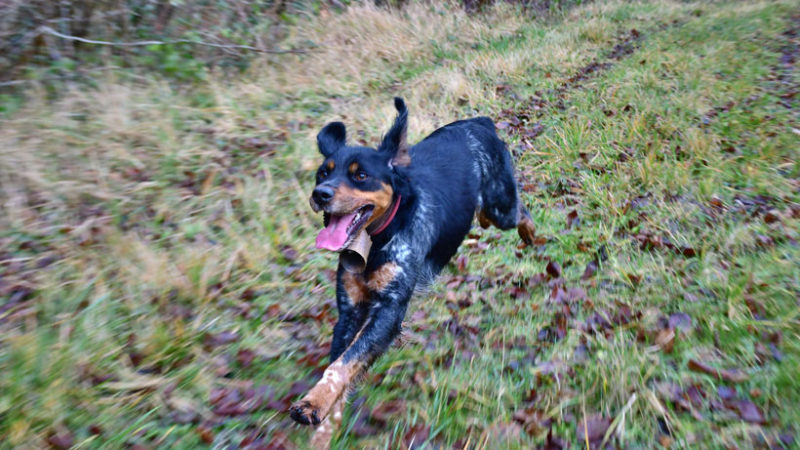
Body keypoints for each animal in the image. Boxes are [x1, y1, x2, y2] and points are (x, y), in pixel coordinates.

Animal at [290, 97, 536, 442]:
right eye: (322, 174)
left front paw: (314, 402)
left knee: (520, 212)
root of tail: (479, 121)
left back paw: (529, 234)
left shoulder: (389, 310)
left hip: (501, 205)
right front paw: (325, 426)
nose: (319, 194)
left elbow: (342, 364)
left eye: (360, 175)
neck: (376, 241)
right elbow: (341, 363)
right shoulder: (350, 310)